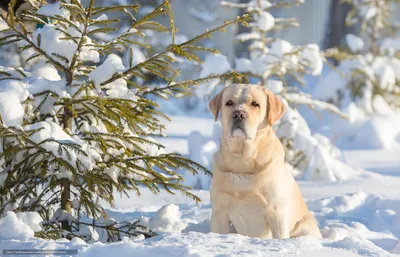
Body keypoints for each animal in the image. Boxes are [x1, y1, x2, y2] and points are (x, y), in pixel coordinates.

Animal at [208, 84, 320, 238]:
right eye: (229, 102)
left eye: (255, 104)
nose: (238, 114)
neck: (243, 160)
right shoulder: (220, 211)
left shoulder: (276, 213)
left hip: (305, 227)